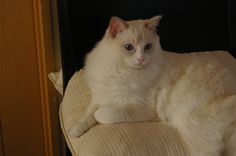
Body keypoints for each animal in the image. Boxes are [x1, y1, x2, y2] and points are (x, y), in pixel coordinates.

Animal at [70, 16, 236, 156]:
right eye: (129, 47)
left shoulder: (139, 108)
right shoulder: (100, 96)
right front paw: (75, 130)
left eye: (148, 46)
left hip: (193, 128)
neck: (121, 70)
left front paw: (96, 116)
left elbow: (101, 114)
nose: (141, 59)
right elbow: (87, 115)